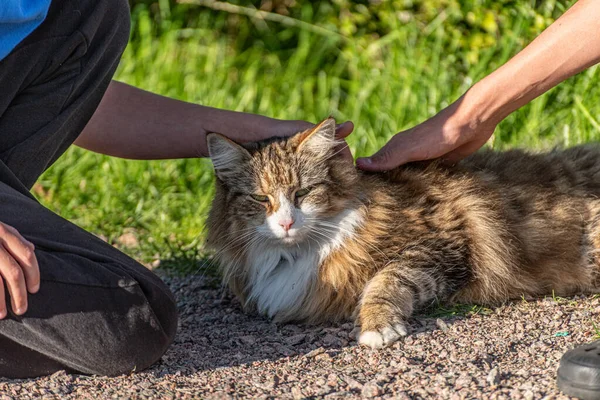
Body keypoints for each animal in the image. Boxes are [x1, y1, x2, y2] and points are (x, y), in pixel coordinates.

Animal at [205, 117, 600, 348]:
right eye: (261, 198)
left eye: (303, 193)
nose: (286, 223)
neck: (300, 254)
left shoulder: (440, 244)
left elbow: (385, 282)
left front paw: (378, 328)